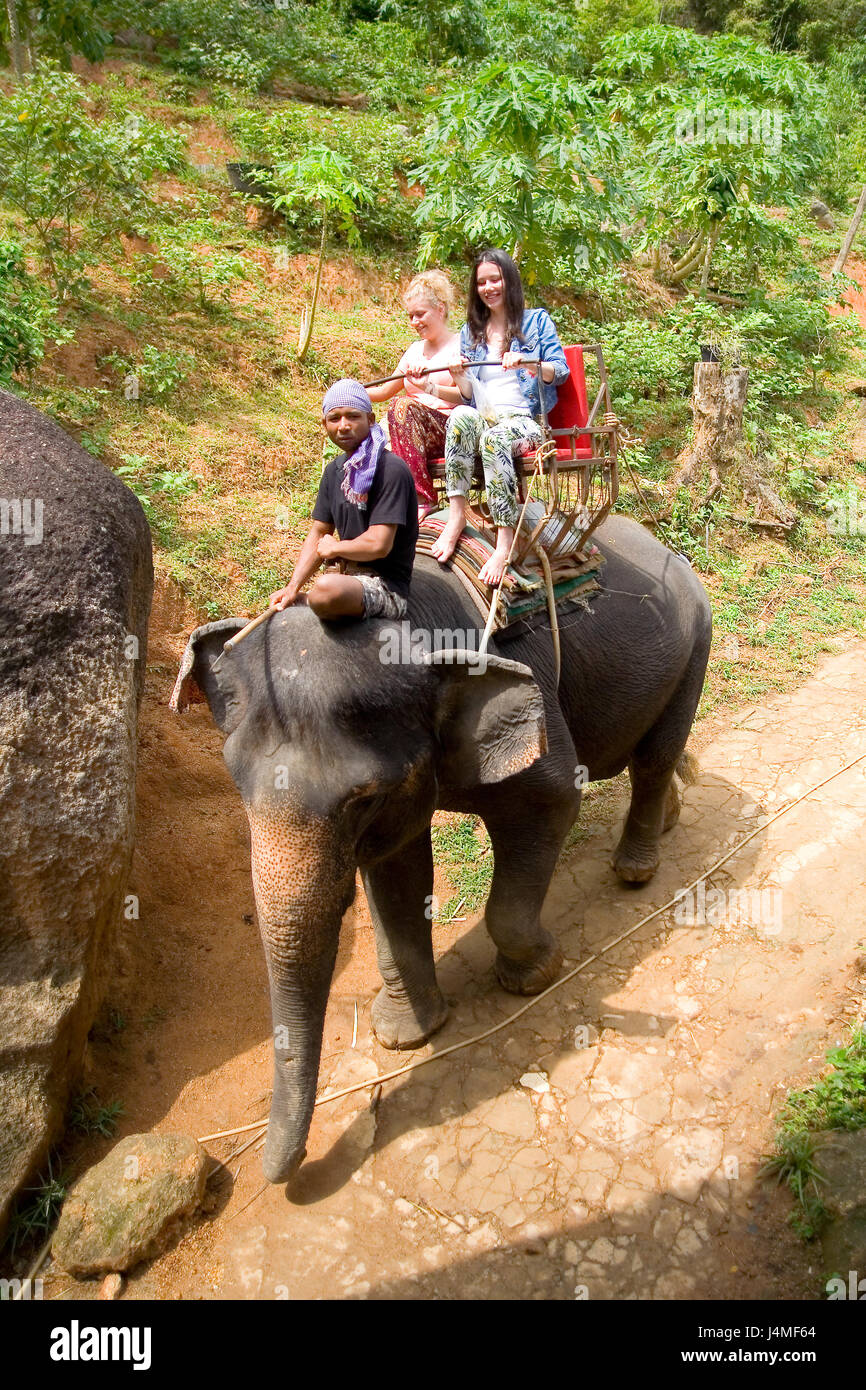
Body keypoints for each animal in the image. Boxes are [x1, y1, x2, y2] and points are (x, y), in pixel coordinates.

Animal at [171, 514, 711, 1184]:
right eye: (236, 784)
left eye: (361, 799)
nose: (280, 1176)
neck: (414, 624)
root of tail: (670, 552)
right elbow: (396, 870)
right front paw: (405, 1036)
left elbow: (554, 804)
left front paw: (535, 975)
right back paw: (668, 821)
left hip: (696, 641)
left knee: (657, 754)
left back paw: (635, 871)